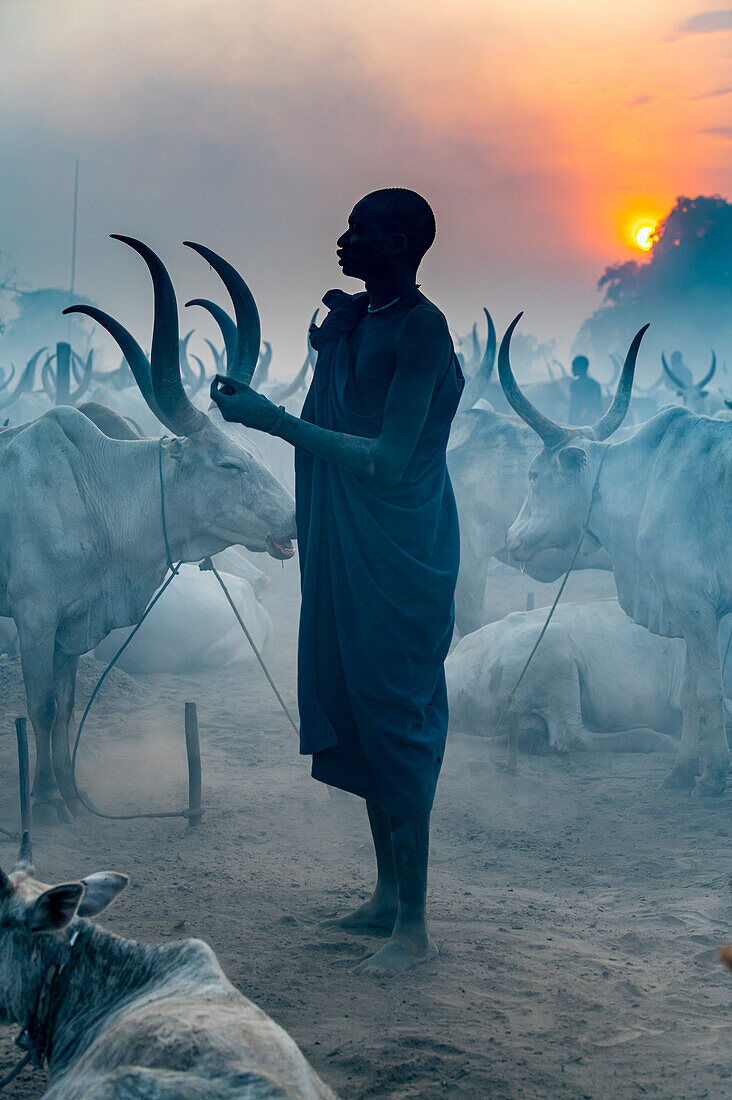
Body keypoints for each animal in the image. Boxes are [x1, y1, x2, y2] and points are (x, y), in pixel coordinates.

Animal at [493, 314, 726, 796]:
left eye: (533, 474)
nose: (510, 538)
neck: (648, 484)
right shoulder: (688, 607)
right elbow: (691, 692)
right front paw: (681, 771)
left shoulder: (695, 603)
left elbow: (710, 691)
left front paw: (713, 777)